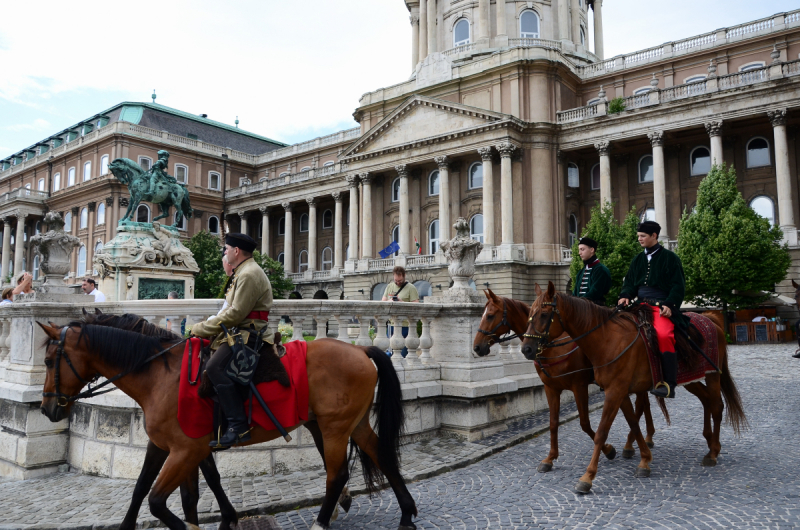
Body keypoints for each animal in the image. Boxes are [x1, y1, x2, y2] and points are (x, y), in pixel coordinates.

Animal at [37, 318, 416, 528]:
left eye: (48, 360)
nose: (46, 408)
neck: (159, 375)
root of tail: (362, 349)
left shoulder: (185, 449)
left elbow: (159, 500)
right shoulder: (173, 446)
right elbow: (153, 490)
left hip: (335, 428)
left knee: (336, 475)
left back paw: (322, 523)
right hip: (352, 423)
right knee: (381, 456)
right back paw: (406, 514)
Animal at [476, 288, 656, 470]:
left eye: (490, 315)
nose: (476, 347)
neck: (552, 346)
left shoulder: (579, 387)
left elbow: (585, 423)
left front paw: (608, 450)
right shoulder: (551, 388)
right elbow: (553, 423)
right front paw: (550, 458)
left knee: (641, 406)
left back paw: (636, 444)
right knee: (643, 405)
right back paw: (643, 440)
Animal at [520, 282, 748, 492]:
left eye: (544, 314)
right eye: (529, 315)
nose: (526, 349)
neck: (606, 339)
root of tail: (711, 319)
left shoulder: (607, 390)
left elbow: (601, 430)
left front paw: (588, 476)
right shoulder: (614, 391)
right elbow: (632, 421)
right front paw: (644, 459)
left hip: (712, 375)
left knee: (716, 406)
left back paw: (713, 451)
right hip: (691, 379)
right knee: (706, 401)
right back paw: (709, 442)